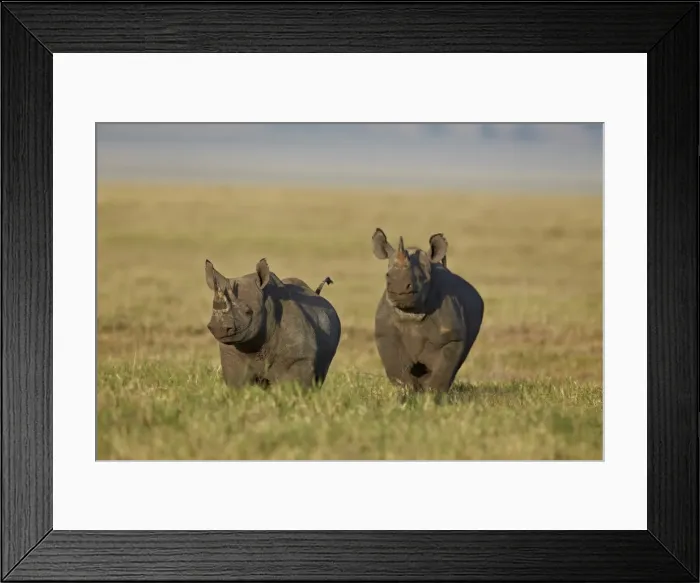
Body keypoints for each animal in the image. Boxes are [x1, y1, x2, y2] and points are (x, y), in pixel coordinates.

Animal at [204, 258, 341, 389]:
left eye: (248, 312)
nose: (219, 328)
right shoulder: (233, 359)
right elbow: (238, 385)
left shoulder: (298, 359)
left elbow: (292, 386)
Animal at [371, 228, 484, 393]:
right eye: (387, 275)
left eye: (420, 278)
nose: (399, 287)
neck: (411, 312)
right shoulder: (386, 335)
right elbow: (397, 371)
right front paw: (407, 392)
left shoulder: (452, 337)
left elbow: (443, 369)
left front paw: (432, 394)